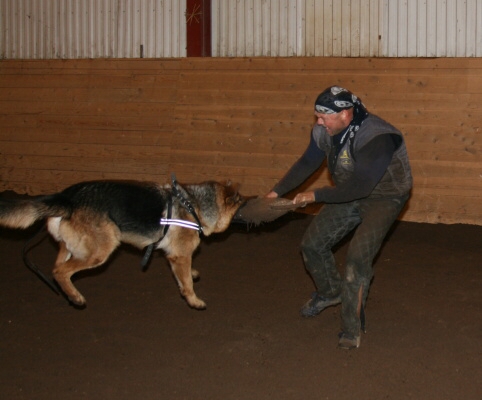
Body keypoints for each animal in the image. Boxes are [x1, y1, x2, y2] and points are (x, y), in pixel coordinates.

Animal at [0, 178, 243, 310]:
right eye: (240, 203)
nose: (249, 203)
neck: (194, 204)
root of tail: (67, 198)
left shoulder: (175, 256)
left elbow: (184, 277)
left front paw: (191, 276)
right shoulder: (180, 255)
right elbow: (187, 285)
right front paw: (194, 301)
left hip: (70, 247)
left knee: (56, 268)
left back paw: (70, 294)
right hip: (99, 251)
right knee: (60, 271)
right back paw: (77, 297)